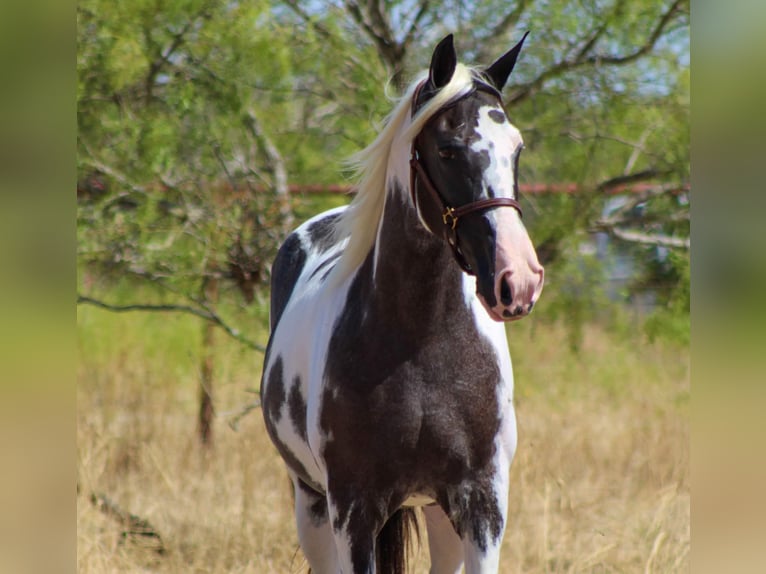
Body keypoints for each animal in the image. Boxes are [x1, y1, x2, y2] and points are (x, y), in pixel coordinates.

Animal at [262, 32, 544, 574]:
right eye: (448, 149)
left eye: (517, 148)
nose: (518, 279)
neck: (420, 344)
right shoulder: (355, 510)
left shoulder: (482, 505)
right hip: (311, 505)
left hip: (438, 513)